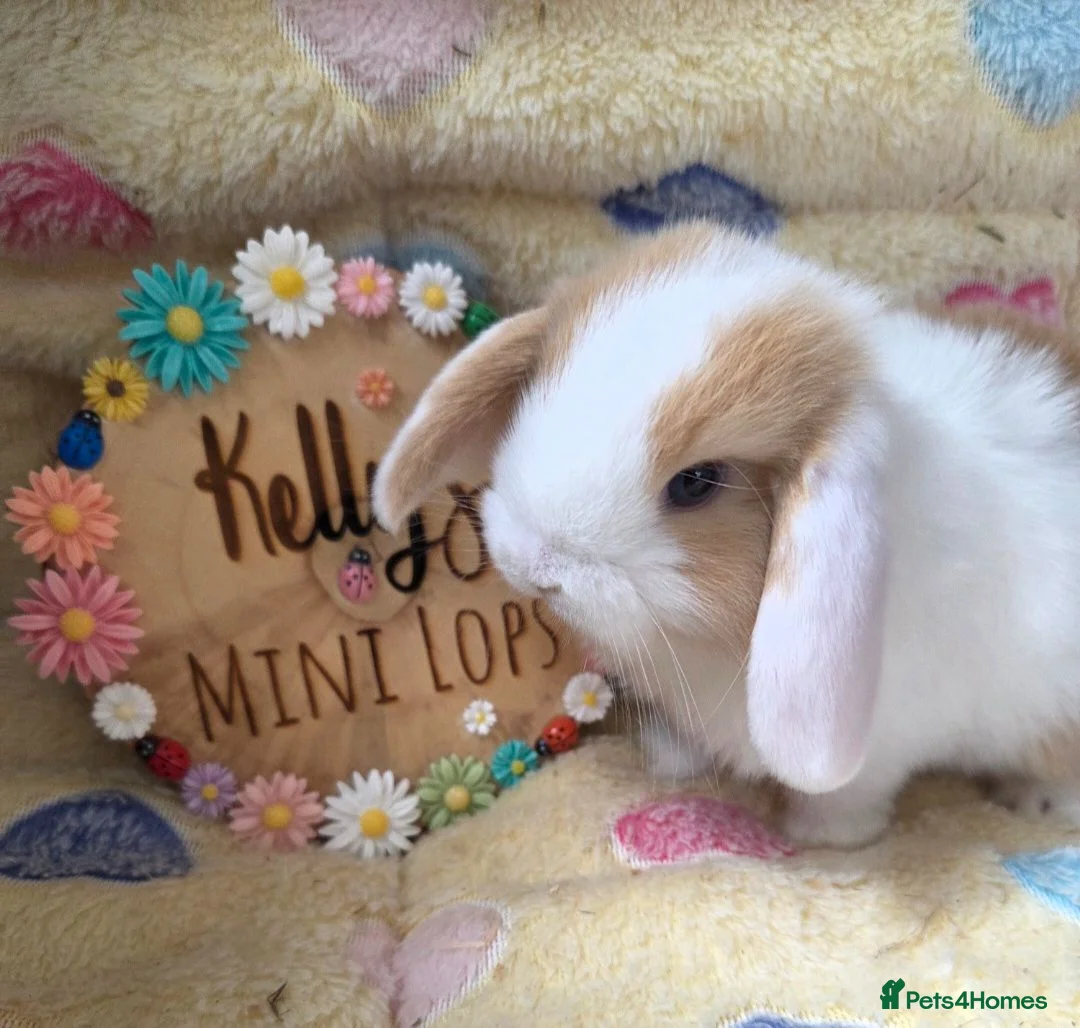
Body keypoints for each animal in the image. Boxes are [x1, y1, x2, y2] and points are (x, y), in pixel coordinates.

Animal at [372, 222, 1080, 848]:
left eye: (696, 483)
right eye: (537, 394)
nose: (534, 565)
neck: (702, 643)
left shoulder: (882, 747)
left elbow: (847, 796)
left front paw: (821, 839)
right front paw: (668, 758)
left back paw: (1038, 801)